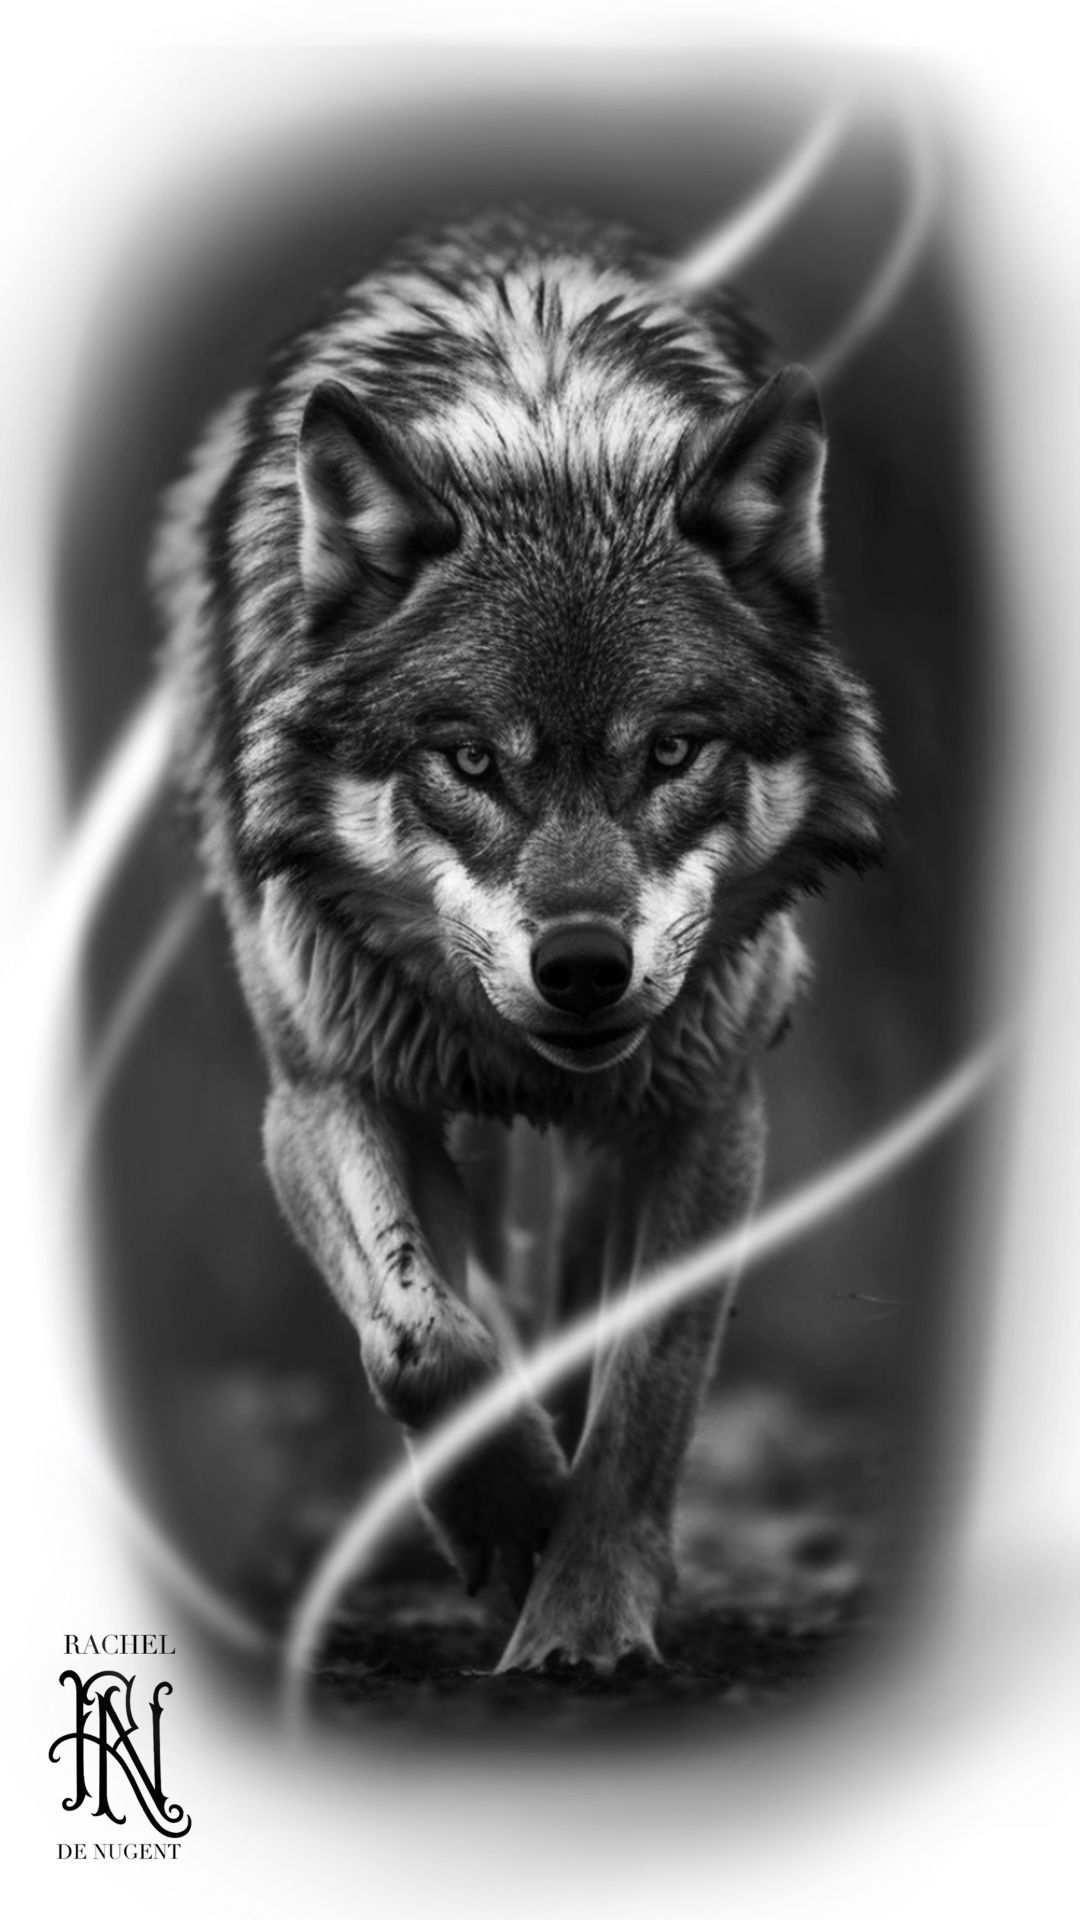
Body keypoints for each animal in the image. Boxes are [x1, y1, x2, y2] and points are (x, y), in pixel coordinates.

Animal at [152, 208, 890, 1674]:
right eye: (472, 761)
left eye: (674, 751)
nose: (585, 968)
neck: (549, 438)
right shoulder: (321, 1090)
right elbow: (419, 1342)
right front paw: (513, 1524)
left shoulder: (709, 1108)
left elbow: (645, 1387)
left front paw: (585, 1619)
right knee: (476, 1286)